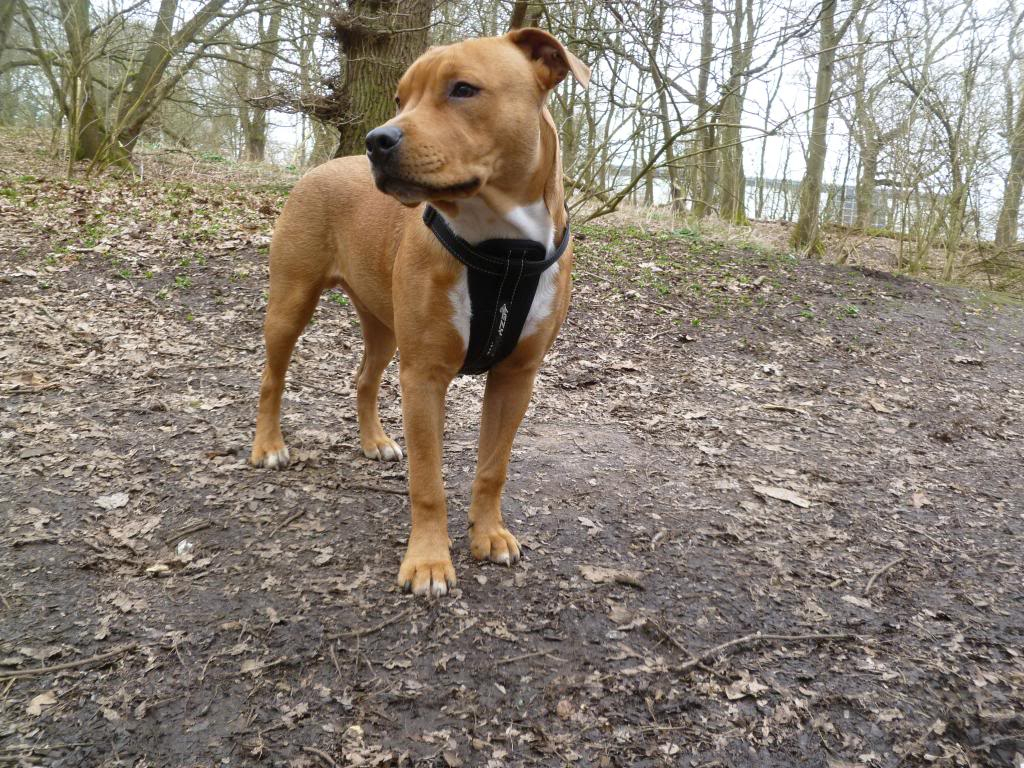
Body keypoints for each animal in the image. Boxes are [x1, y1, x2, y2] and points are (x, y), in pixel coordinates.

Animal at [249, 28, 593, 593]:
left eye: (463, 89)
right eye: (399, 98)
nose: (376, 140)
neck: (504, 250)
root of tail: (320, 167)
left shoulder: (516, 376)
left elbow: (493, 467)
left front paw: (488, 534)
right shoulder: (424, 376)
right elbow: (428, 480)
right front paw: (429, 561)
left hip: (384, 325)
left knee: (365, 378)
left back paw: (374, 440)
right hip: (291, 301)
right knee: (271, 378)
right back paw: (268, 445)